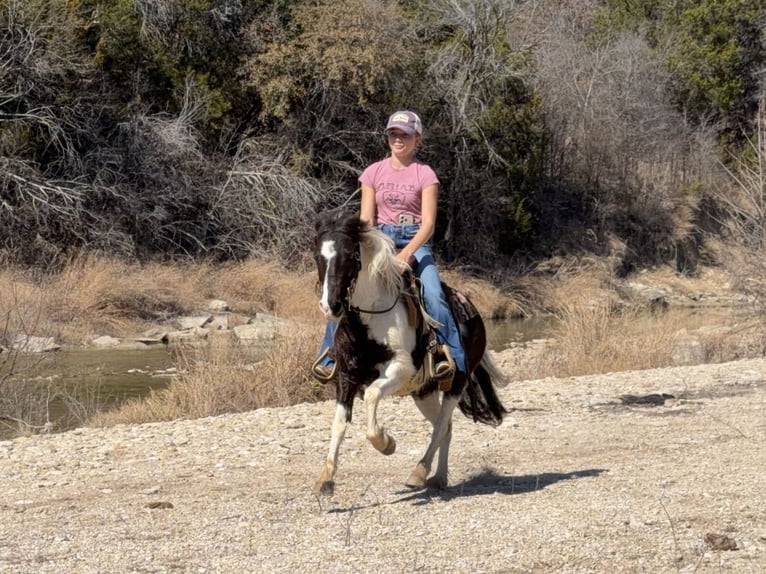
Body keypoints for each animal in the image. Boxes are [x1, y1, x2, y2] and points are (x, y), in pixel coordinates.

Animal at [312, 209, 508, 495]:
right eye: (318, 257)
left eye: (349, 255)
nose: (331, 306)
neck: (369, 319)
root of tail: (473, 311)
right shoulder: (346, 375)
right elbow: (339, 422)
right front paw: (326, 478)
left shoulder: (400, 369)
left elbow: (372, 395)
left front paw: (386, 443)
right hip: (423, 392)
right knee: (446, 427)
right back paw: (438, 477)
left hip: (455, 383)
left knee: (440, 427)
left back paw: (419, 472)